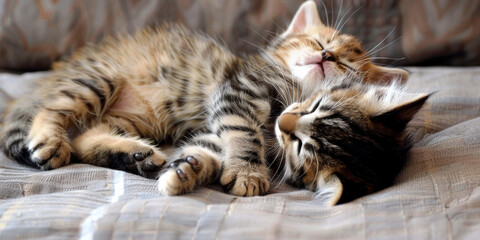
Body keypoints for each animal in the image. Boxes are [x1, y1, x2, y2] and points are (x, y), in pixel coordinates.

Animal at [1, 0, 410, 198]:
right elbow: (244, 136)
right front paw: (248, 173)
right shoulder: (236, 93)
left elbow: (212, 149)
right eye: (318, 41)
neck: (292, 86)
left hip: (132, 117)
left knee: (86, 137)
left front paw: (194, 171)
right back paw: (49, 140)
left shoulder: (220, 123)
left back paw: (135, 155)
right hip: (99, 78)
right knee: (53, 110)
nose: (325, 56)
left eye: (345, 62)